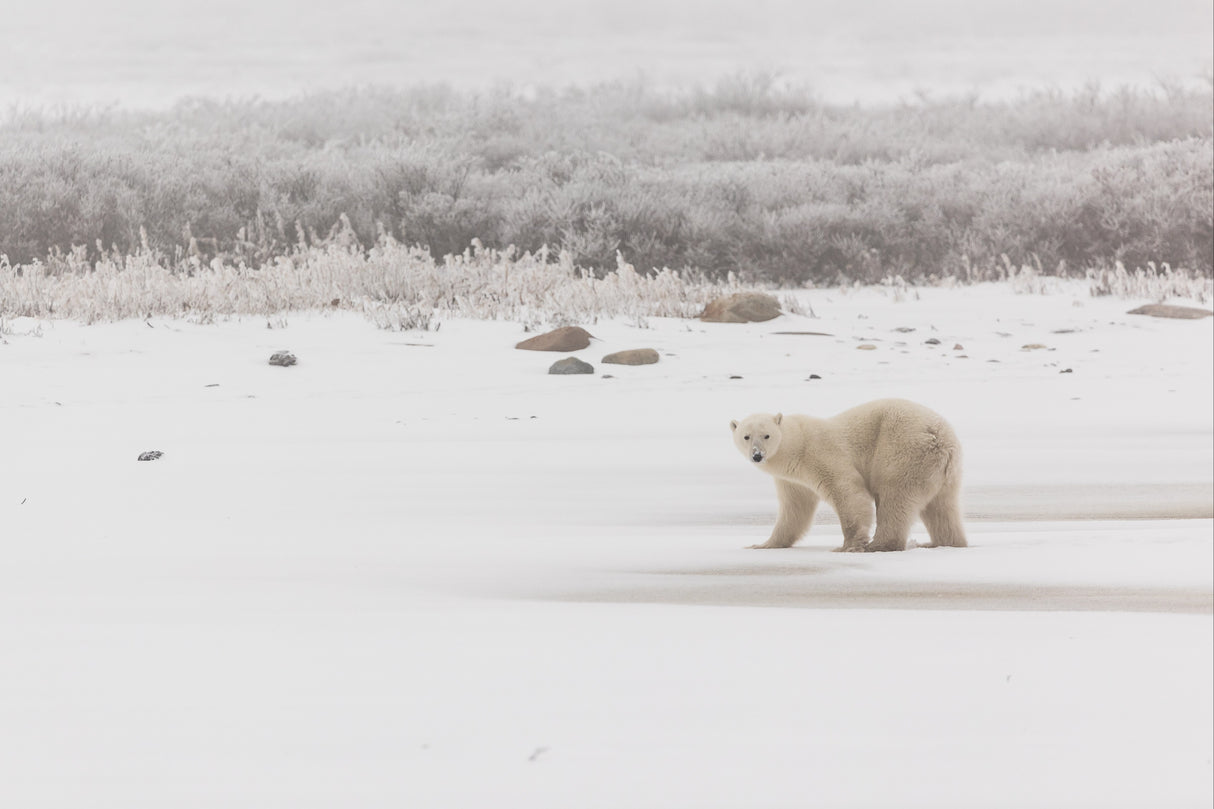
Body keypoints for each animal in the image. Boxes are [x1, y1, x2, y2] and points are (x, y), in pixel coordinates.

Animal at [728, 398, 966, 551]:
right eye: (746, 436)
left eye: (766, 435)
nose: (757, 455)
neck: (797, 446)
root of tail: (938, 437)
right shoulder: (791, 480)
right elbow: (795, 510)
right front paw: (764, 544)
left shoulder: (820, 453)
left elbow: (846, 490)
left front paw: (849, 545)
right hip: (946, 472)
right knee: (942, 508)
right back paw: (945, 542)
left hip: (901, 450)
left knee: (895, 497)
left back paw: (879, 544)